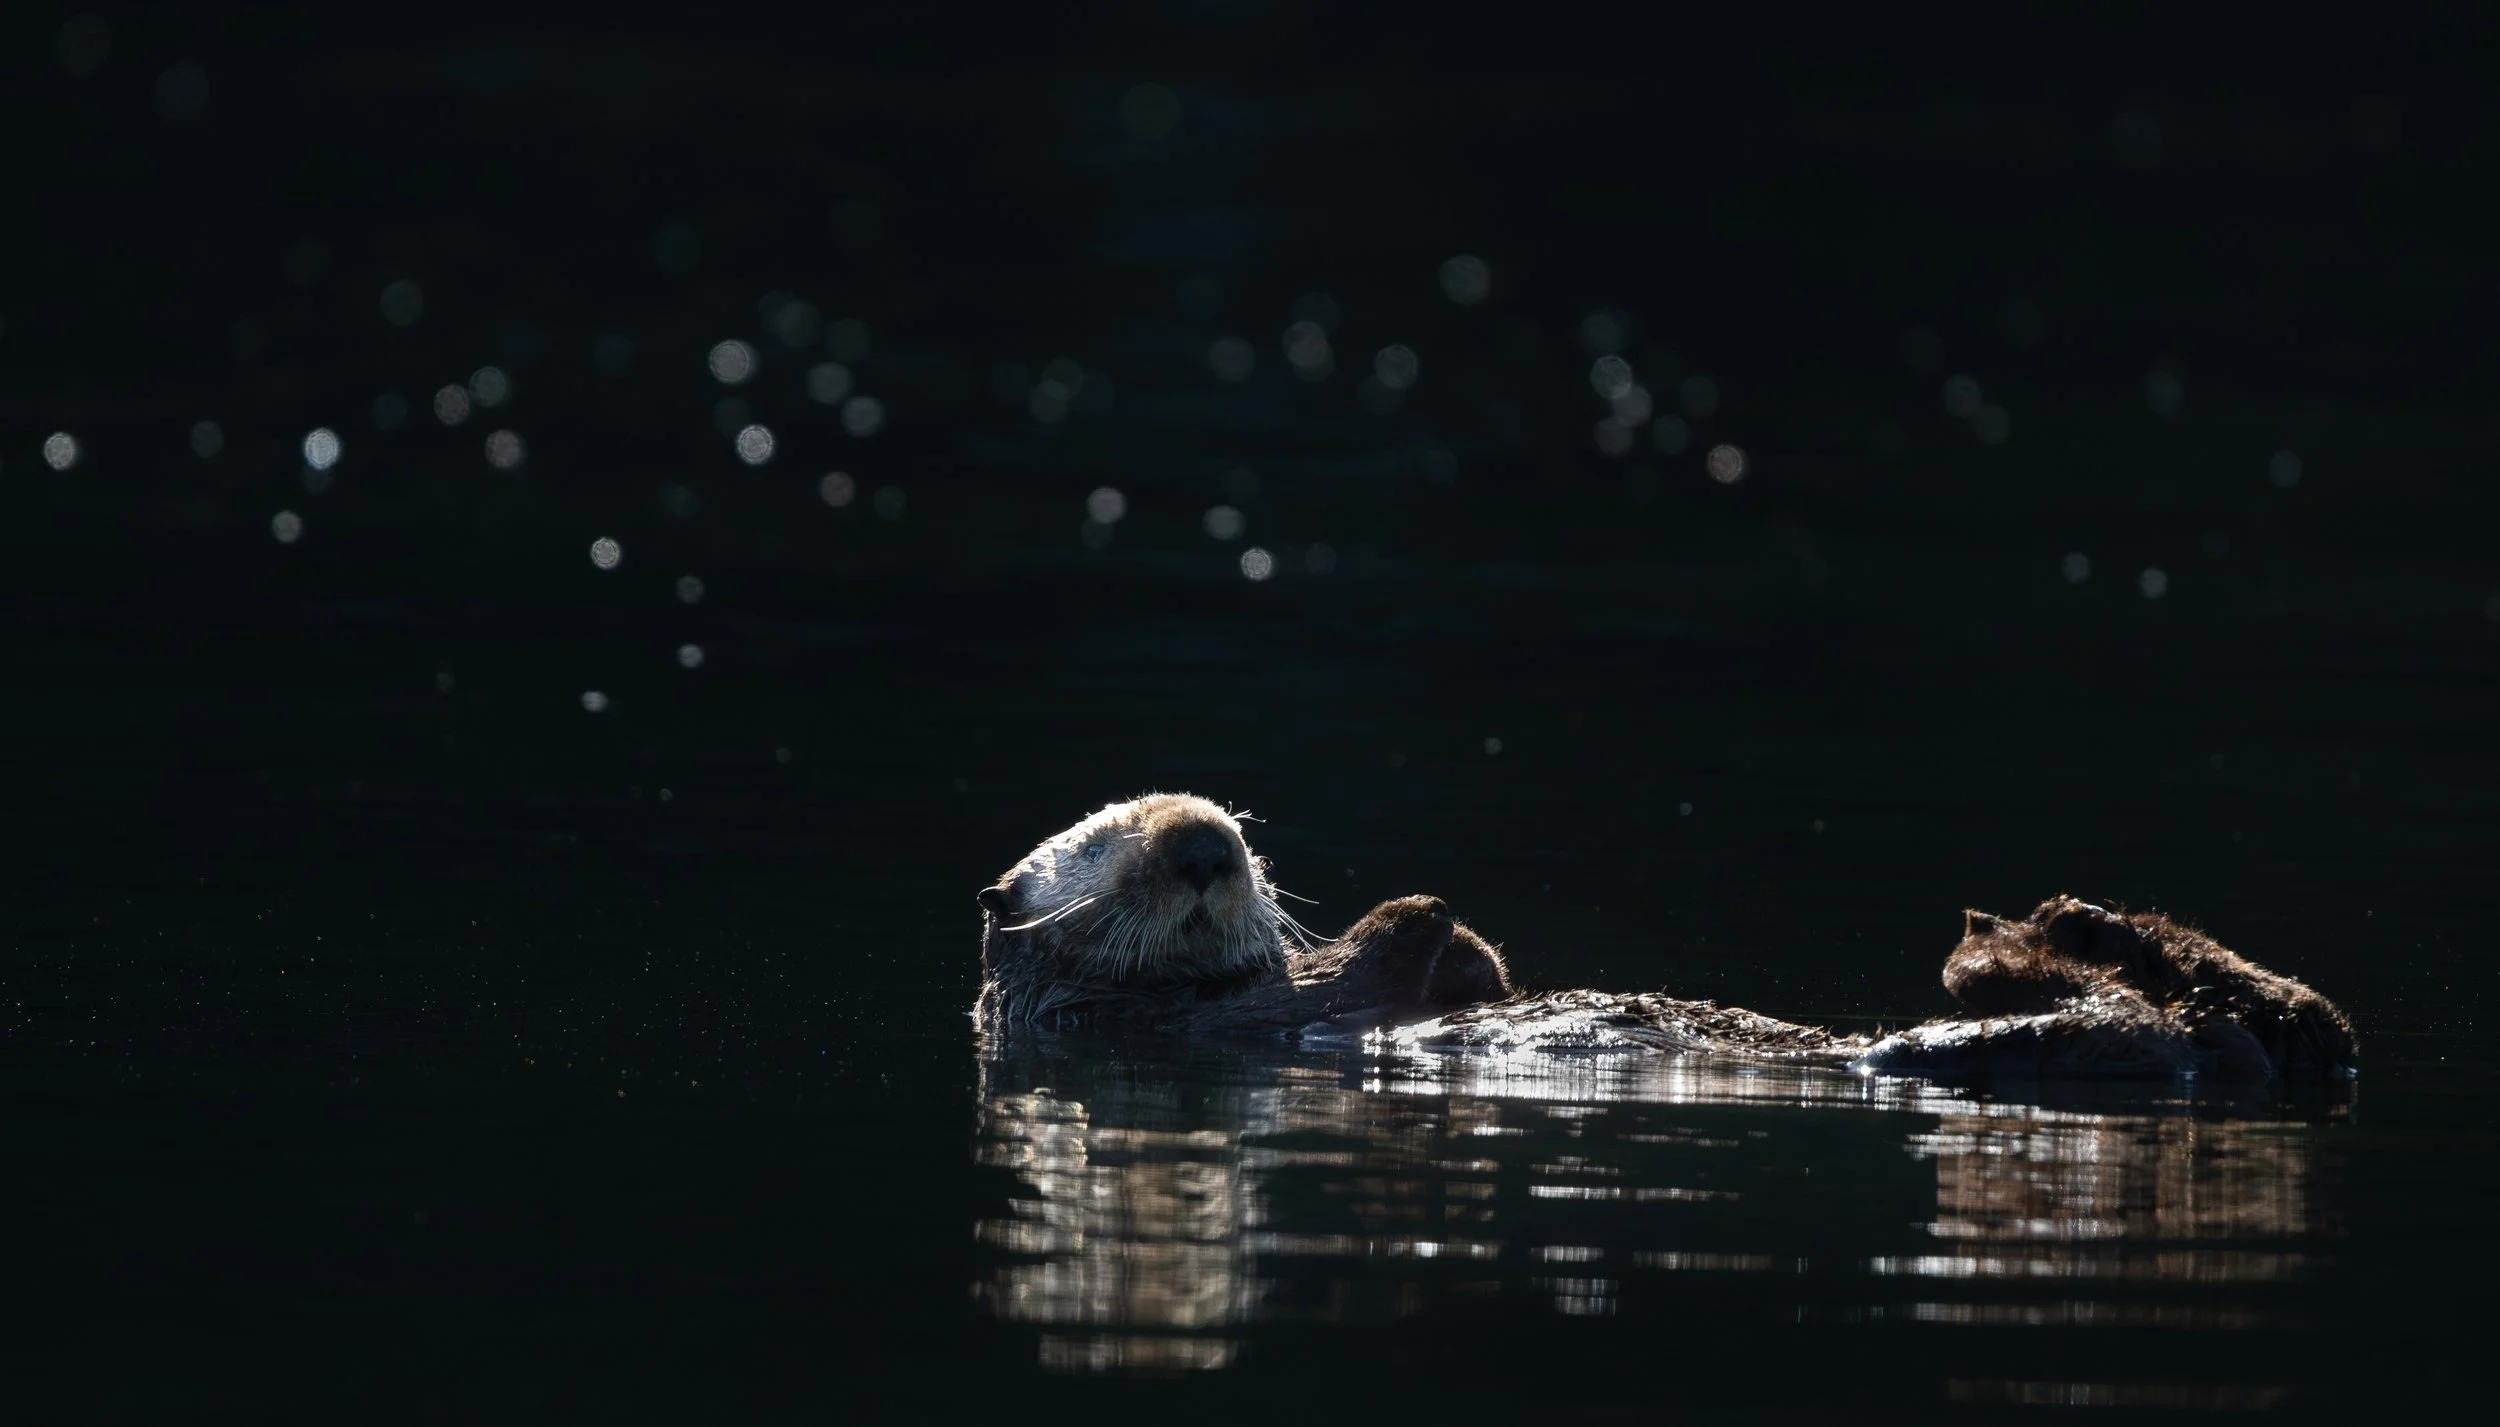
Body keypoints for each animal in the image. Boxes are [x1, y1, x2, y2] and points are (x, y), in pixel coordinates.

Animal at [975, 793, 1512, 1033]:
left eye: (1240, 833)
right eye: (1093, 850)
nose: (1203, 849)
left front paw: (1468, 950)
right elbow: (1329, 984)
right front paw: (1416, 910)